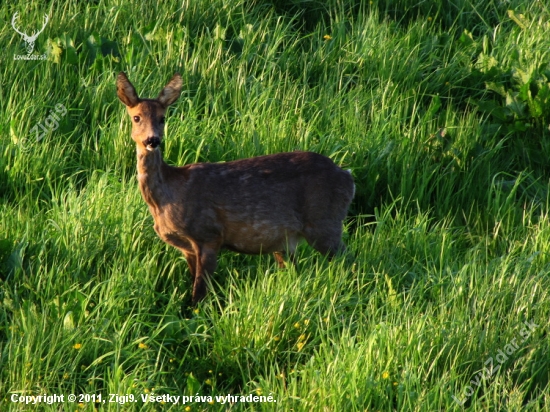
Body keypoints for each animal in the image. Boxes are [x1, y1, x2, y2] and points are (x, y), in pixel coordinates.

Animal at [117, 71, 358, 302]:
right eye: (136, 117)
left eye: (162, 118)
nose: (152, 140)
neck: (167, 196)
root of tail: (348, 177)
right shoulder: (188, 248)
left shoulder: (209, 234)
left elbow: (199, 292)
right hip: (287, 240)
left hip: (324, 222)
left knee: (349, 260)